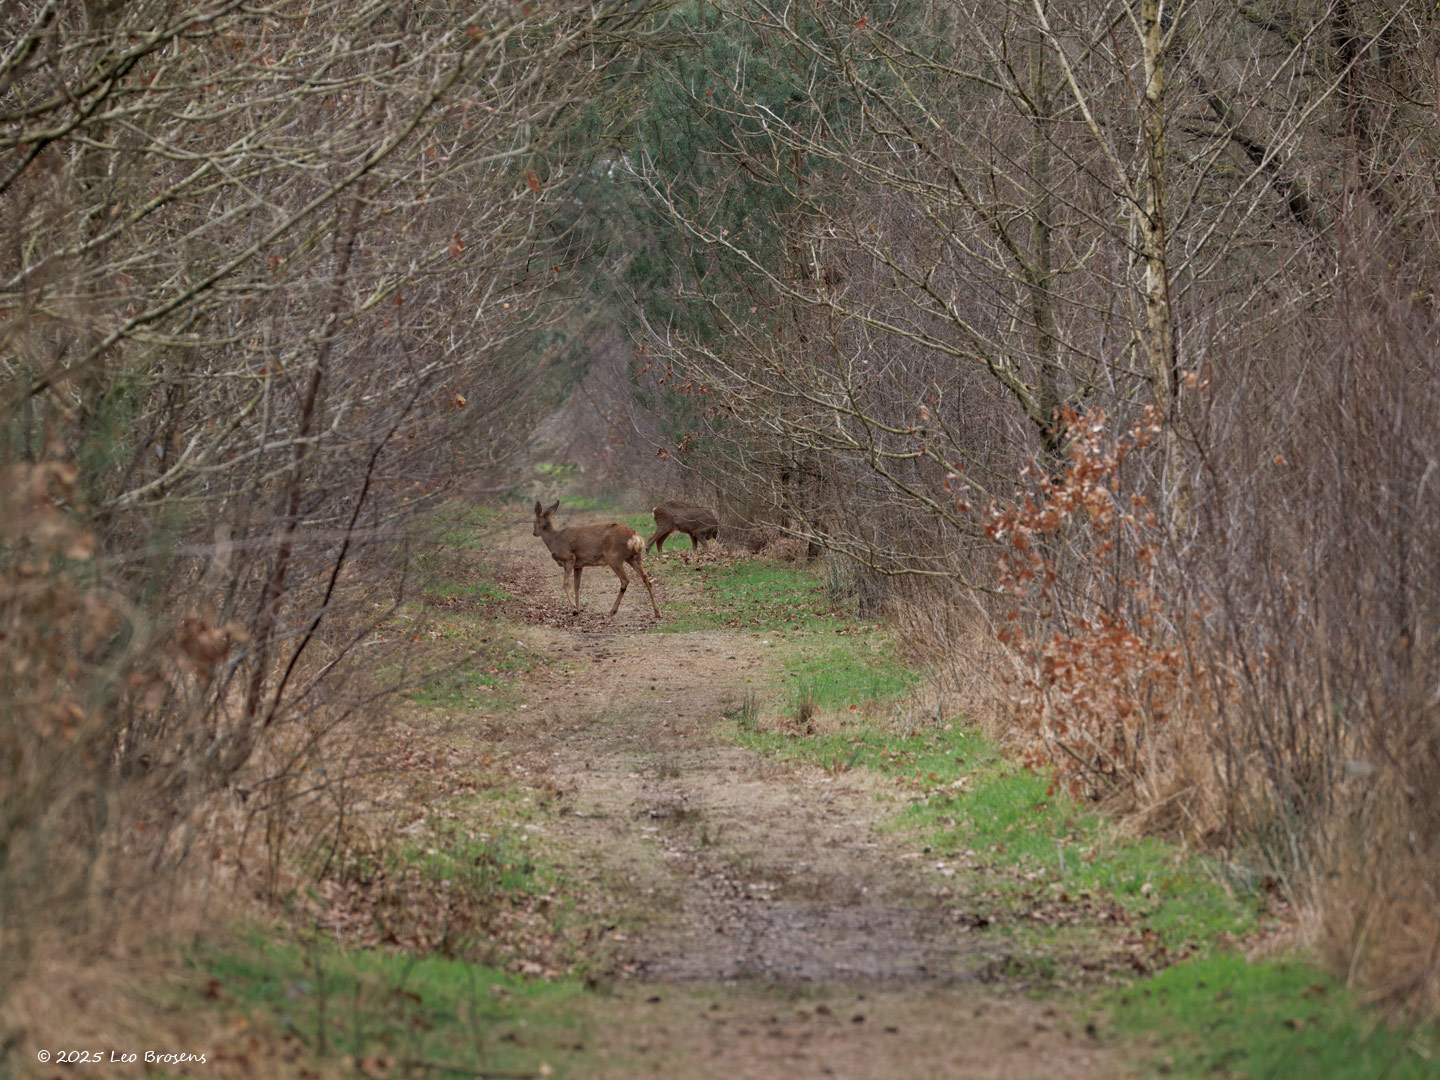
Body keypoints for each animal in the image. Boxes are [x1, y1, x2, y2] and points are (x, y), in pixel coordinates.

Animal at [532, 500, 660, 619]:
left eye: (534, 521)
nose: (534, 533)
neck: (554, 540)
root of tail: (636, 537)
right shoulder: (578, 565)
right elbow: (577, 585)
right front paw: (579, 609)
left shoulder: (569, 558)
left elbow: (565, 583)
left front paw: (574, 609)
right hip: (634, 557)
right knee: (646, 578)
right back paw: (657, 612)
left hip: (614, 558)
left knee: (625, 580)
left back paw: (612, 611)